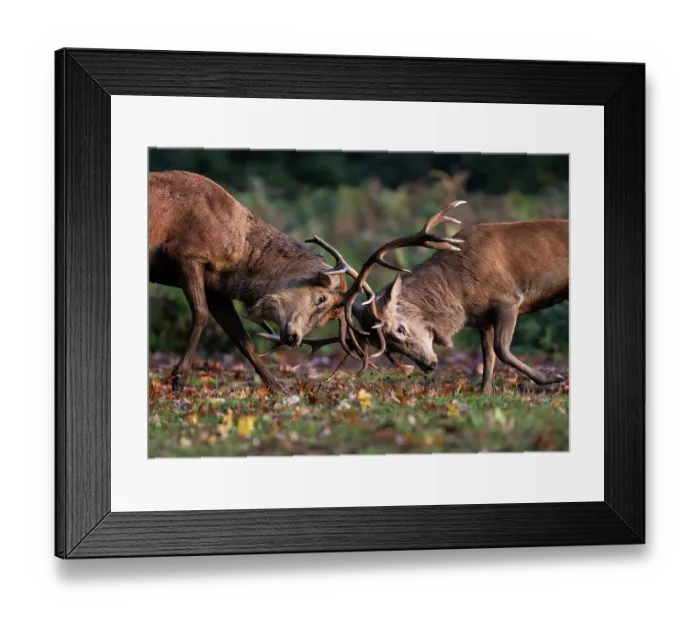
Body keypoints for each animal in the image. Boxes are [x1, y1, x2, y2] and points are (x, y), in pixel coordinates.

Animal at [148, 170, 370, 394]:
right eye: (322, 298)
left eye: (323, 321)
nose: (294, 339)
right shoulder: (187, 254)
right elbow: (201, 314)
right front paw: (178, 378)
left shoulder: (216, 288)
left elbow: (243, 339)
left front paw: (278, 388)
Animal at [263, 202, 569, 394]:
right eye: (390, 349)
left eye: (399, 328)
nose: (430, 365)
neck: (462, 295)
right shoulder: (483, 319)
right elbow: (489, 357)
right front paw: (486, 392)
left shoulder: (508, 298)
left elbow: (501, 349)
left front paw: (551, 378)